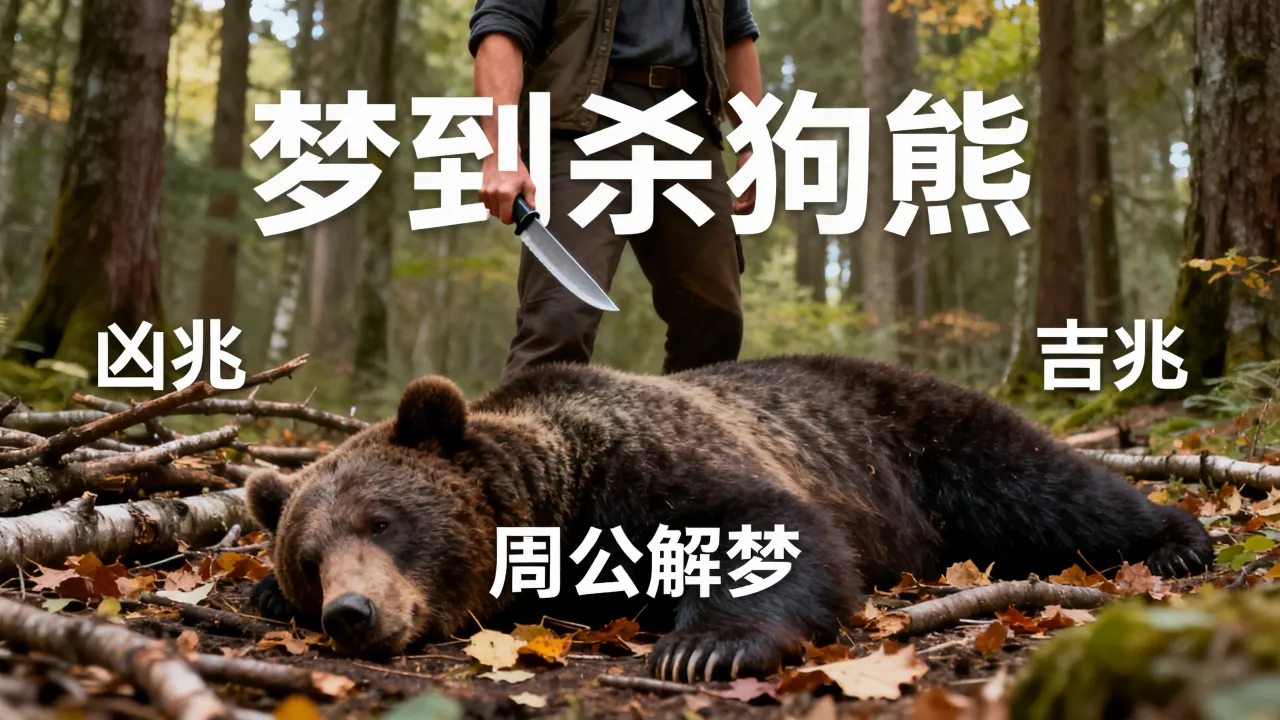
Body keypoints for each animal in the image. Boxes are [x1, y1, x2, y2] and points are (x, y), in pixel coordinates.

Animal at [245, 354, 1212, 683]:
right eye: (308, 558)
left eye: (382, 521)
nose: (351, 612)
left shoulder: (643, 471)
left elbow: (767, 530)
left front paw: (703, 646)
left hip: (921, 438)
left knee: (1047, 488)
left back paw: (1176, 542)